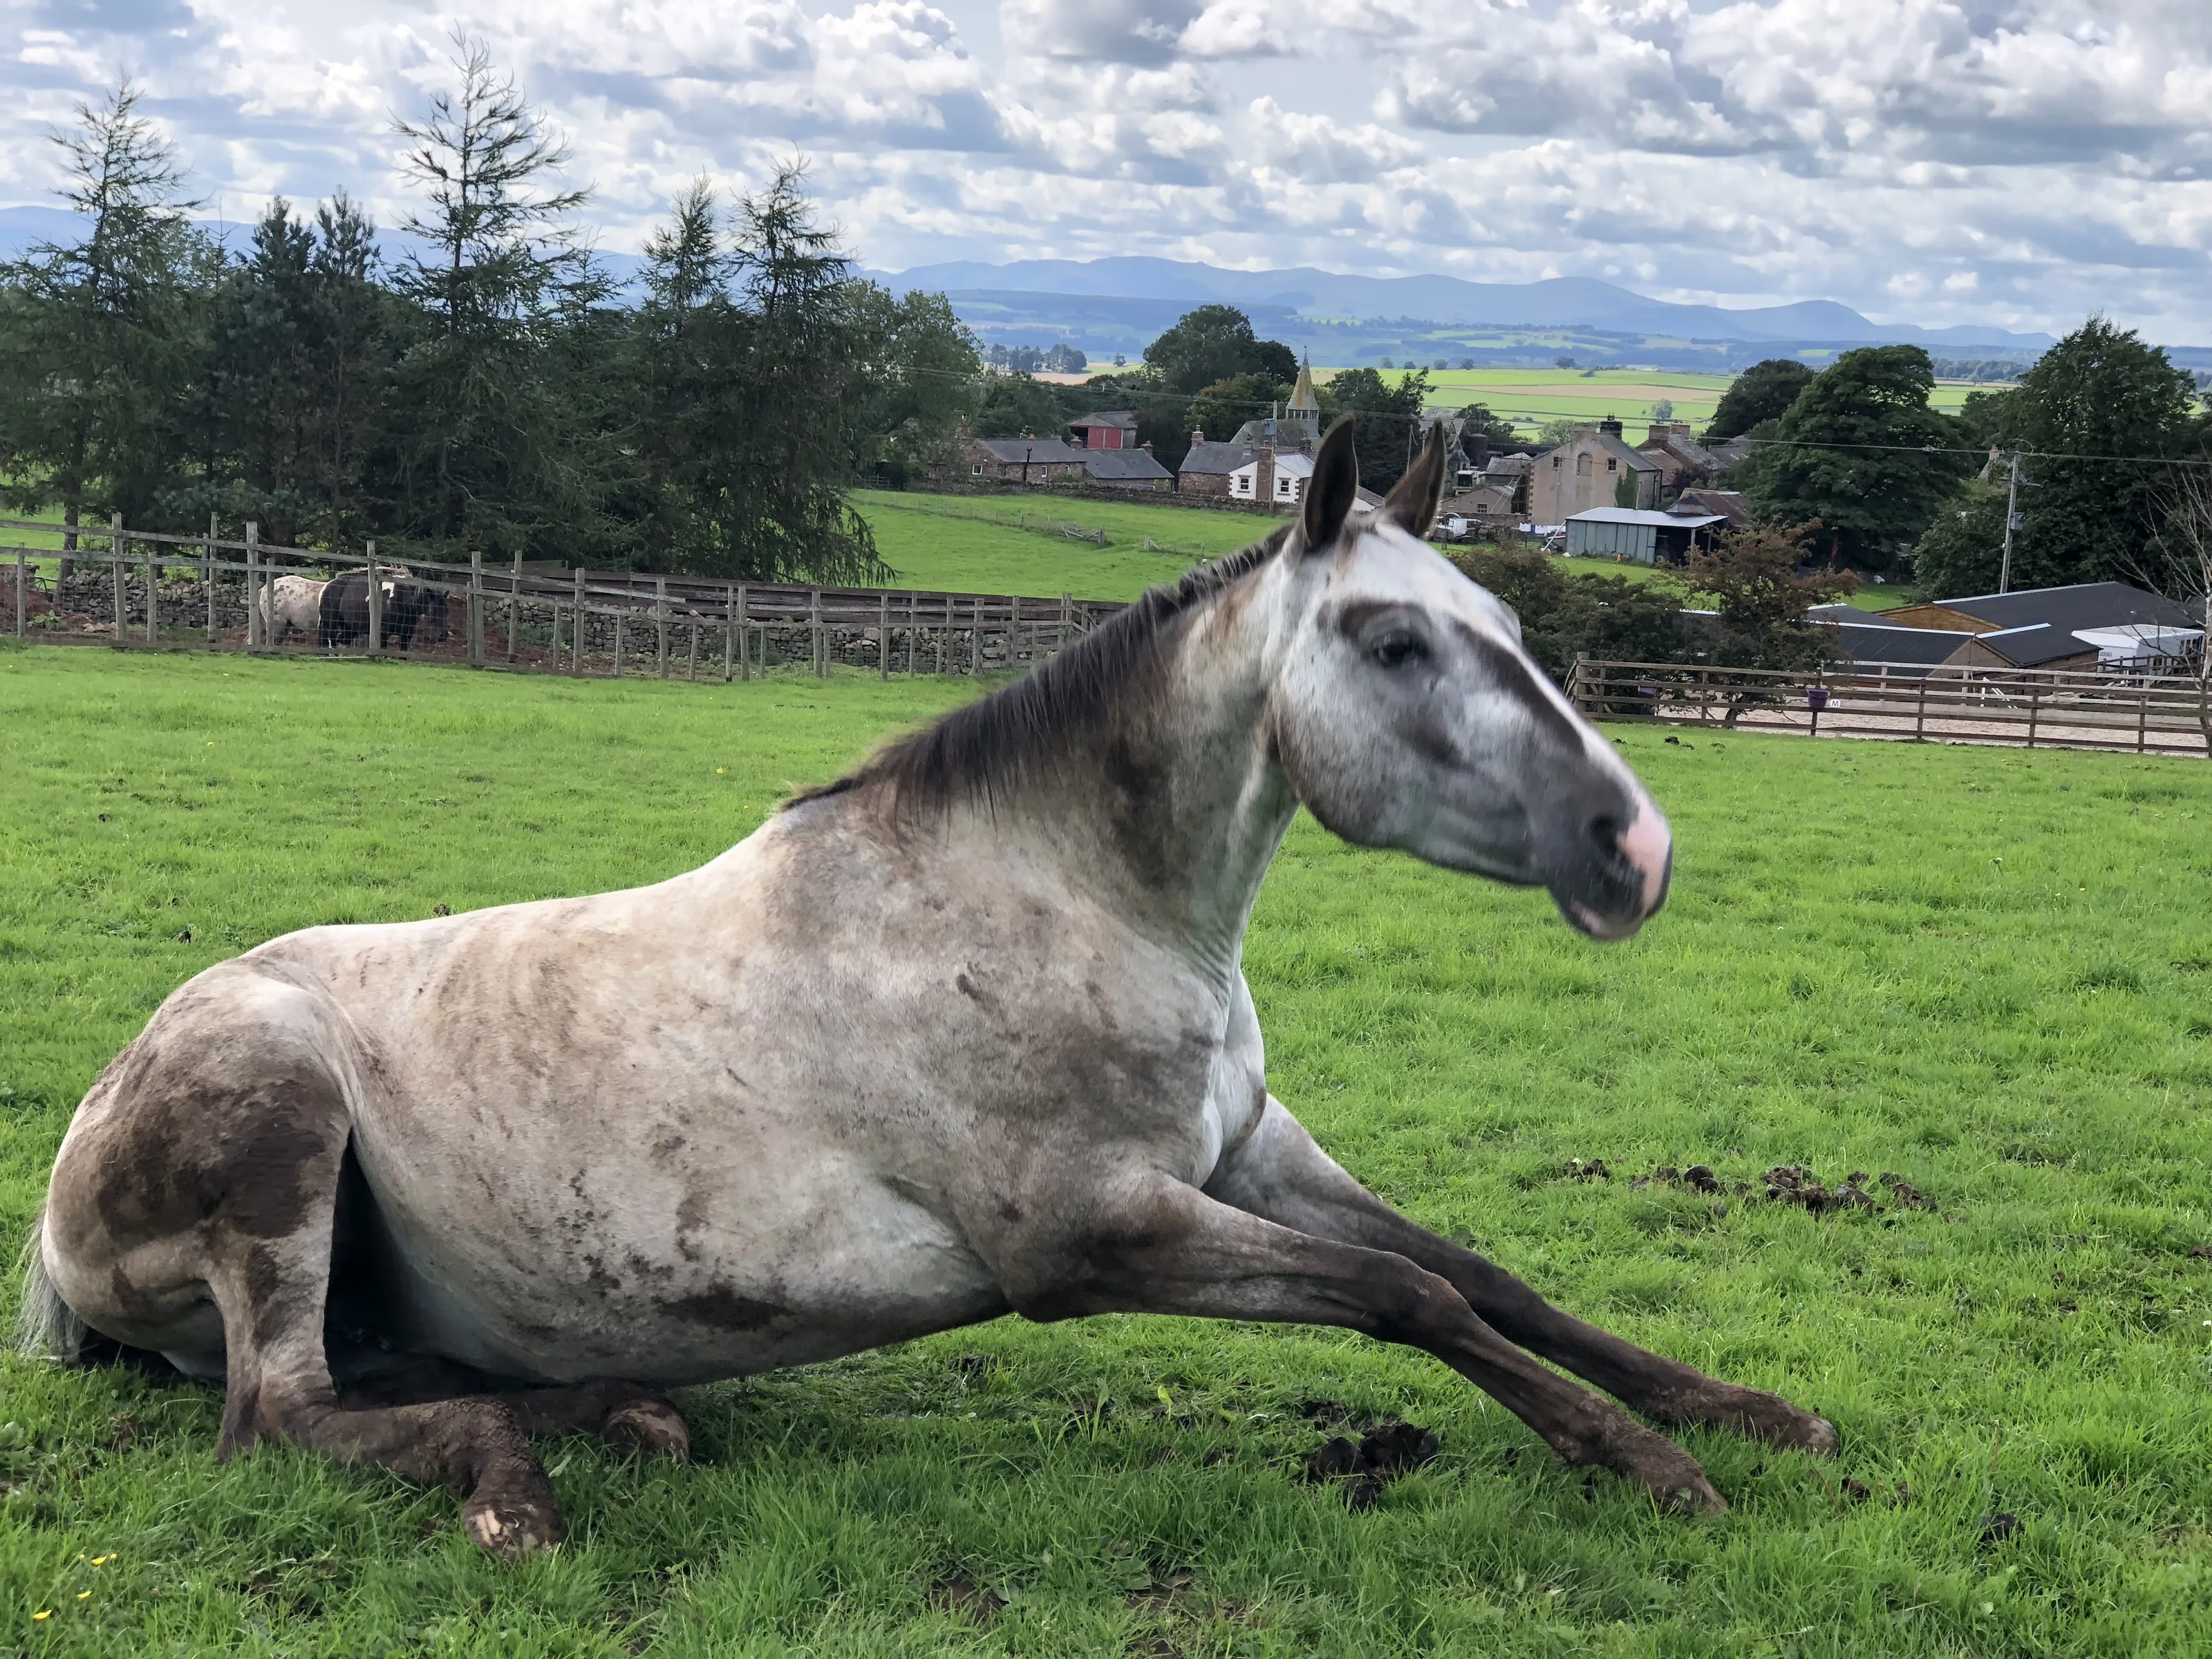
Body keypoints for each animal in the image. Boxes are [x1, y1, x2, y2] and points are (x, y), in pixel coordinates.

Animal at [20, 419, 1835, 1558]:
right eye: (1393, 643)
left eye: (1508, 617)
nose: (1634, 847)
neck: (1065, 904)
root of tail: (61, 1202)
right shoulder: (1097, 1236)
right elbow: (1412, 1299)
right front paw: (1652, 1465)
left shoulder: (1251, 1156)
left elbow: (1483, 1275)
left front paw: (1750, 1413)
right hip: (281, 1143)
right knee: (282, 1417)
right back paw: (515, 1490)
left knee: (390, 1383)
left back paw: (621, 1410)